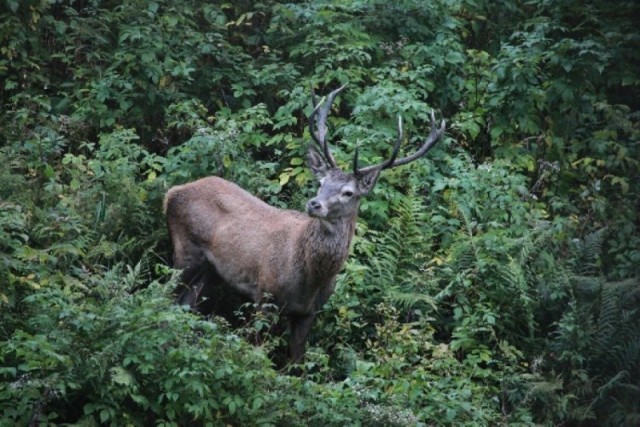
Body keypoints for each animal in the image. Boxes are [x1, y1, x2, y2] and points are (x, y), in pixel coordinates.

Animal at [164, 86, 444, 364]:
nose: (314, 204)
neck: (309, 276)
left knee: (186, 303)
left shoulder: (309, 312)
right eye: (321, 183)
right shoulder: (264, 296)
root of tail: (172, 192)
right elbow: (257, 354)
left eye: (348, 192)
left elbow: (297, 361)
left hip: (212, 270)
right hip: (186, 250)